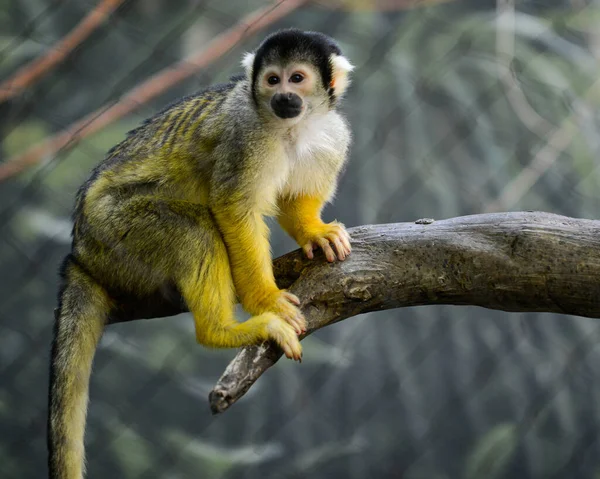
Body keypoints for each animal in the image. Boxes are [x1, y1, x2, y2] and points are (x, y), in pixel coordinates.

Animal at [49, 29, 354, 476]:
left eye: (297, 78)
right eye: (272, 80)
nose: (283, 97)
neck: (293, 127)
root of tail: (80, 253)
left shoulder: (331, 134)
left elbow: (293, 199)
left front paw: (314, 233)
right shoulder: (246, 135)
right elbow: (233, 208)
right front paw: (267, 300)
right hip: (114, 231)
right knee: (196, 231)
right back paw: (220, 330)